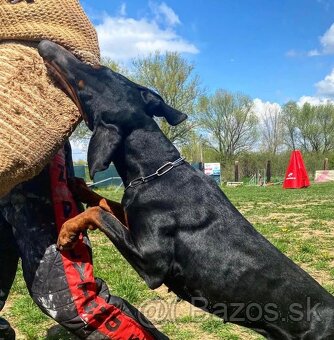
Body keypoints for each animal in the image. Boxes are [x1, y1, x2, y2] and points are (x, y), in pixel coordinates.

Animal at [37, 41, 334, 338]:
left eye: (92, 74)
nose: (45, 45)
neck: (156, 170)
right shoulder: (134, 219)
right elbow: (105, 204)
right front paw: (78, 187)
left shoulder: (151, 262)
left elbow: (99, 214)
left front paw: (66, 233)